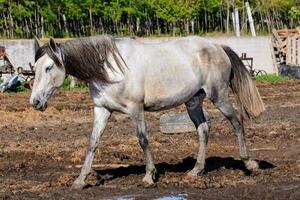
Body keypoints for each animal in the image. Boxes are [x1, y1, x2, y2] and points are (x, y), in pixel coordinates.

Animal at [31, 35, 264, 190]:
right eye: (35, 68)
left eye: (49, 67)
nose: (35, 102)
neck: (110, 70)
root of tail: (217, 46)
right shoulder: (102, 110)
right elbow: (92, 142)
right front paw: (80, 180)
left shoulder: (136, 109)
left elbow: (143, 139)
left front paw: (149, 177)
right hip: (193, 101)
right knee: (203, 130)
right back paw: (196, 170)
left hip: (219, 96)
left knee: (237, 121)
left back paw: (249, 164)